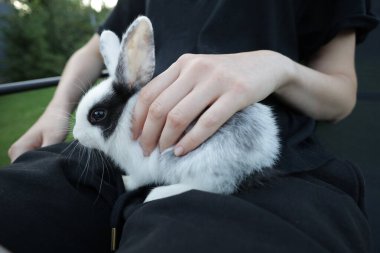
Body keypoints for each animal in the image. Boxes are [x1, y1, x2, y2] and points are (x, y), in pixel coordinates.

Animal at [72, 15, 280, 203]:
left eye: (97, 114)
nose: (76, 135)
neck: (123, 117)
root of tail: (260, 156)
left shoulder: (140, 165)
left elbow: (136, 180)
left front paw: (124, 181)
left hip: (193, 164)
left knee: (212, 187)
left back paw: (156, 195)